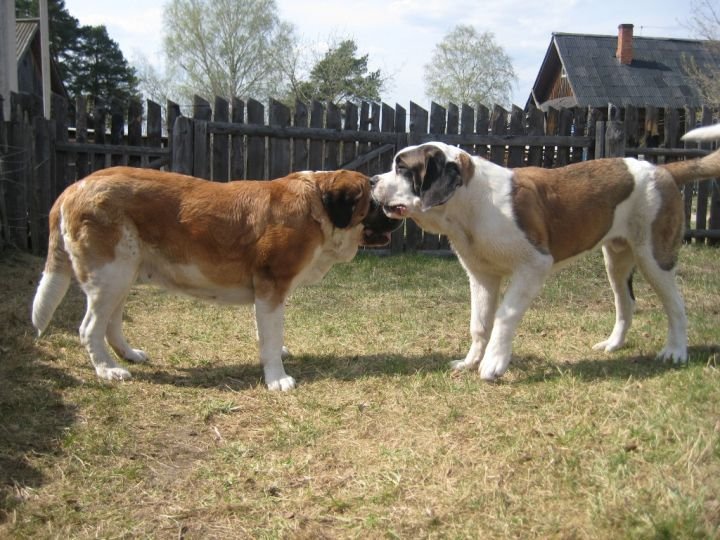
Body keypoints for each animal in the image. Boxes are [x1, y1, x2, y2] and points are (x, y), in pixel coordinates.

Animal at [32, 167, 400, 390]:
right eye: (374, 202)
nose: (395, 214)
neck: (317, 208)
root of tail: (74, 187)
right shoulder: (271, 287)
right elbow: (269, 338)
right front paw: (277, 378)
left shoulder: (267, 295)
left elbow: (267, 333)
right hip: (110, 276)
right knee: (90, 328)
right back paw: (107, 370)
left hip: (122, 276)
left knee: (111, 322)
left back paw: (128, 355)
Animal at [371, 125, 720, 381]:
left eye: (402, 168)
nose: (373, 179)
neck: (471, 202)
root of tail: (662, 170)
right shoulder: (482, 276)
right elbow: (479, 323)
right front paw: (470, 361)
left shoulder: (533, 266)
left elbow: (505, 315)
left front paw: (493, 364)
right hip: (617, 260)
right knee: (626, 303)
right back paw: (613, 344)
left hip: (654, 257)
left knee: (675, 305)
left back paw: (675, 351)